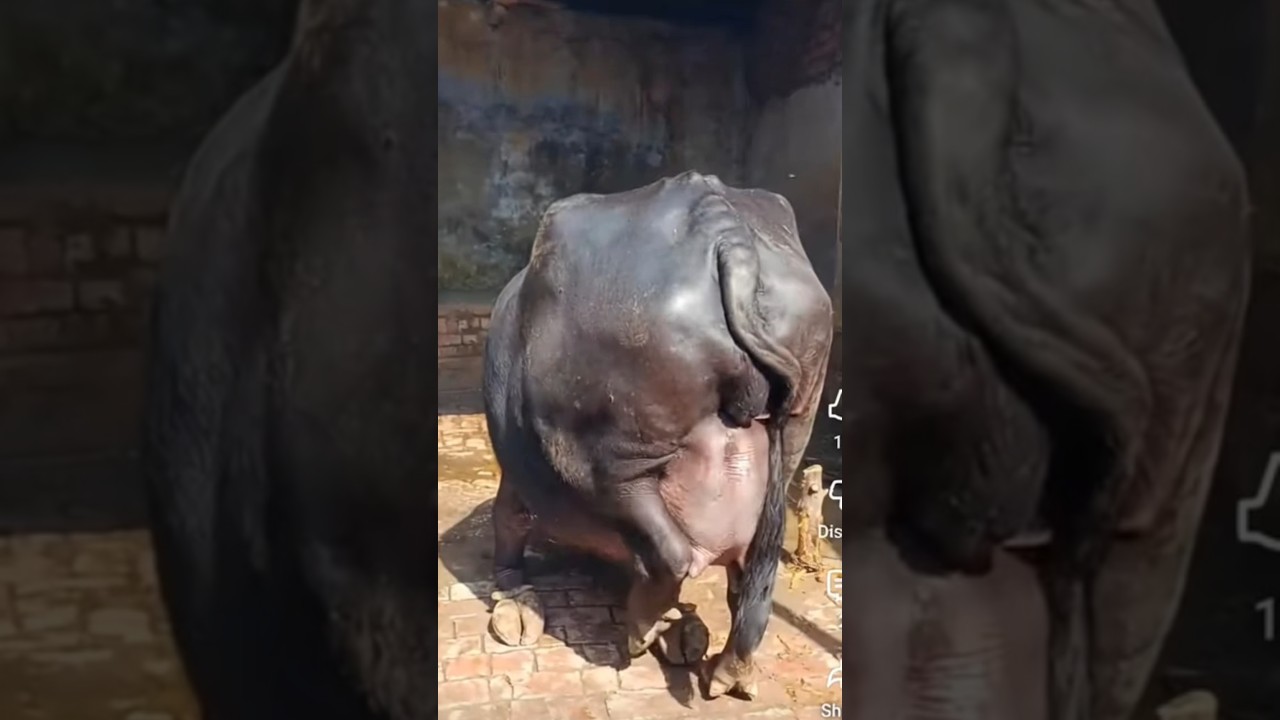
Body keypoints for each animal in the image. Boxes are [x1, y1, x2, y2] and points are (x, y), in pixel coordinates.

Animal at [481, 171, 834, 699]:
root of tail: (725, 232)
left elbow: (510, 519)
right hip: (790, 432)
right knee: (752, 568)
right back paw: (725, 670)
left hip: (606, 461)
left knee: (670, 554)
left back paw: (643, 632)